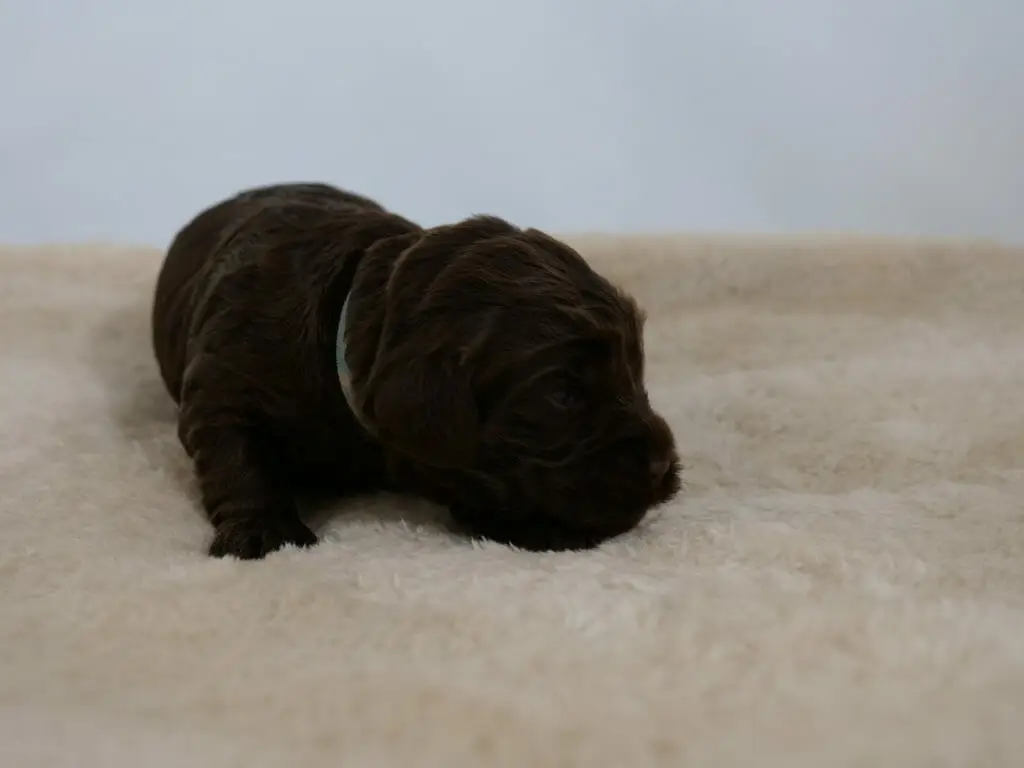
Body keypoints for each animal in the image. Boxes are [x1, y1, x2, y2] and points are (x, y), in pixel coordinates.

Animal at [151, 185, 679, 561]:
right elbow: (237, 455)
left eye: (635, 370)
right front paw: (264, 533)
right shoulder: (225, 380)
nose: (660, 464)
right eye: (563, 395)